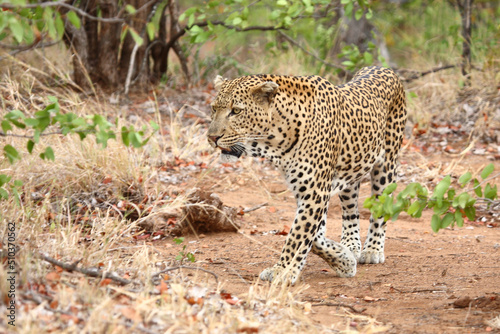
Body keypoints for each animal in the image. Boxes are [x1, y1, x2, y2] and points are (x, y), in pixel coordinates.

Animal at [207, 66, 406, 284]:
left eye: (236, 111)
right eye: (214, 109)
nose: (212, 137)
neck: (276, 139)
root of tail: (383, 68)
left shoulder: (315, 191)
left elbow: (298, 235)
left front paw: (282, 270)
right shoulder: (306, 190)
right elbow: (314, 236)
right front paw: (344, 260)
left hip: (386, 165)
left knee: (381, 207)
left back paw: (372, 250)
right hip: (351, 169)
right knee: (350, 210)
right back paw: (351, 245)